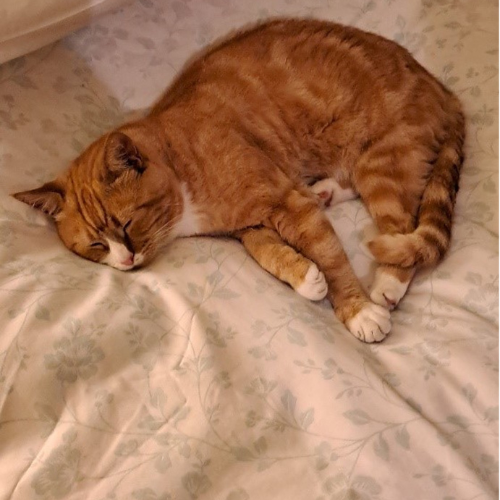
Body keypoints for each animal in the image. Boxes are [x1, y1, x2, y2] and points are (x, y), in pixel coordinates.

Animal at [11, 17, 464, 342]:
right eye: (96, 246)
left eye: (126, 223)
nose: (126, 261)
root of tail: (441, 87)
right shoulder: (250, 224)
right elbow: (269, 253)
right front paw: (306, 279)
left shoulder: (283, 199)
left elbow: (332, 255)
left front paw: (358, 311)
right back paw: (325, 191)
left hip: (380, 163)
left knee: (401, 228)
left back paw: (386, 285)